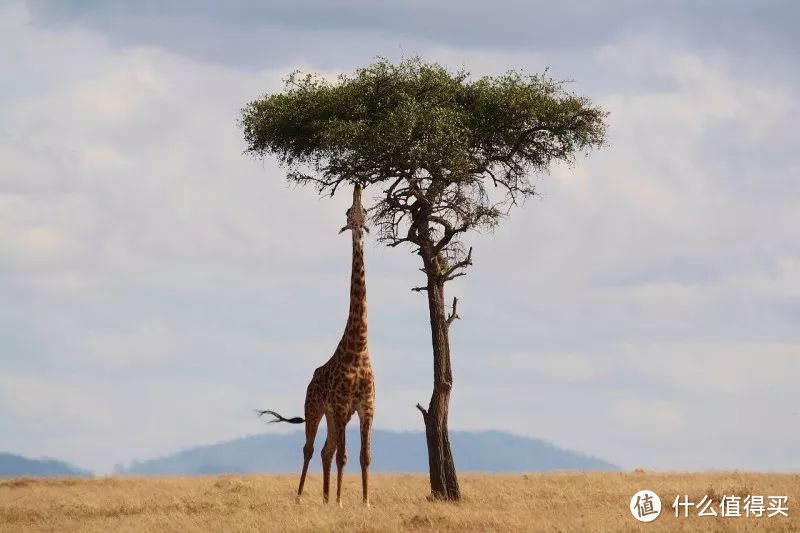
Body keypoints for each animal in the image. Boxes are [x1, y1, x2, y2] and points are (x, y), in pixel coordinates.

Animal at [260, 184, 378, 508]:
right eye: (349, 212)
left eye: (365, 211)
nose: (358, 187)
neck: (359, 347)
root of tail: (310, 380)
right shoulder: (340, 405)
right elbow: (344, 457)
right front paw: (340, 503)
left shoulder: (365, 406)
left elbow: (364, 456)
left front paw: (364, 503)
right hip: (314, 407)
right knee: (311, 449)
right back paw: (303, 497)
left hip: (335, 416)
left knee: (327, 449)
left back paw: (325, 499)